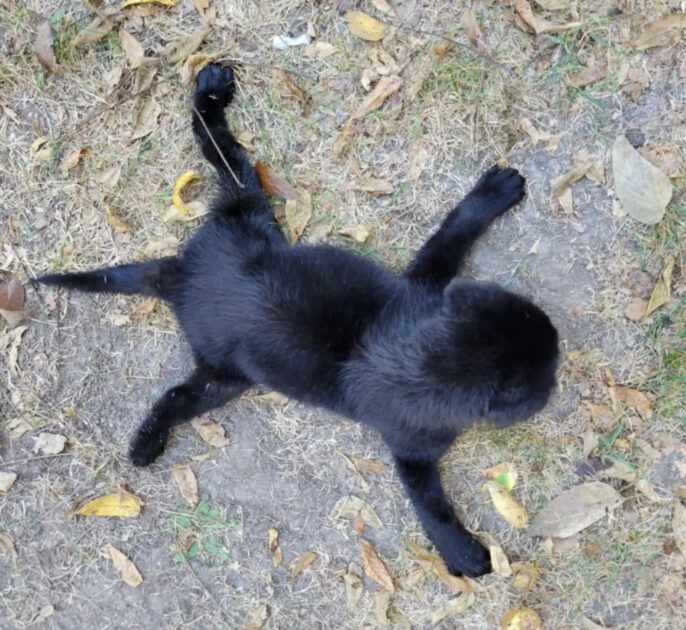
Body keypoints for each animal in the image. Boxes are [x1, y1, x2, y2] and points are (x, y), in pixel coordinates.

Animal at [38, 64, 559, 577]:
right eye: (549, 365)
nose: (558, 338)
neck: (418, 357)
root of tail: (182, 275)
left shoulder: (425, 288)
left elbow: (452, 232)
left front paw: (490, 194)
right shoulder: (410, 446)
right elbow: (429, 502)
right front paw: (463, 552)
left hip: (237, 253)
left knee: (216, 151)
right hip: (229, 341)